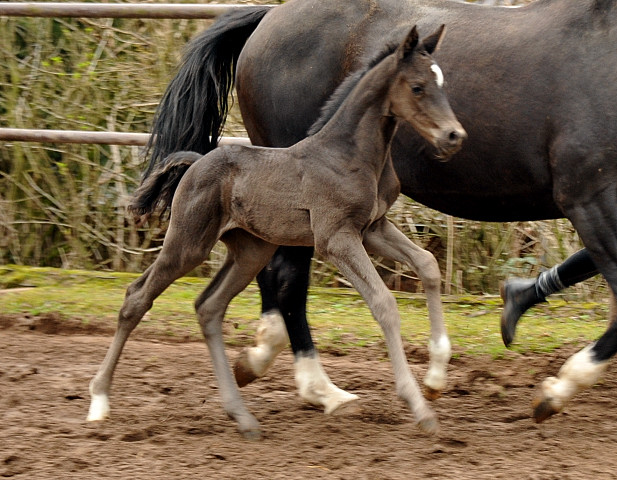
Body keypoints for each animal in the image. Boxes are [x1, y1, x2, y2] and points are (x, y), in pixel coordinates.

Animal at [85, 25, 462, 438]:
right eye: (417, 87)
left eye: (442, 83)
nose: (454, 136)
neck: (350, 154)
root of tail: (196, 162)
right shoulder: (336, 238)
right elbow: (384, 303)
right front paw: (419, 407)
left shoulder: (373, 228)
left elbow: (427, 264)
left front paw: (436, 378)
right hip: (188, 243)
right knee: (137, 298)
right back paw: (99, 400)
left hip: (251, 250)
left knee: (208, 307)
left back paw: (242, 416)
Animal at [148, 0, 616, 420]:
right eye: (418, 87)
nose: (453, 135)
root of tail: (269, 14)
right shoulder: (588, 198)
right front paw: (555, 391)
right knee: (287, 278)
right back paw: (318, 387)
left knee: (273, 274)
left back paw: (271, 364)